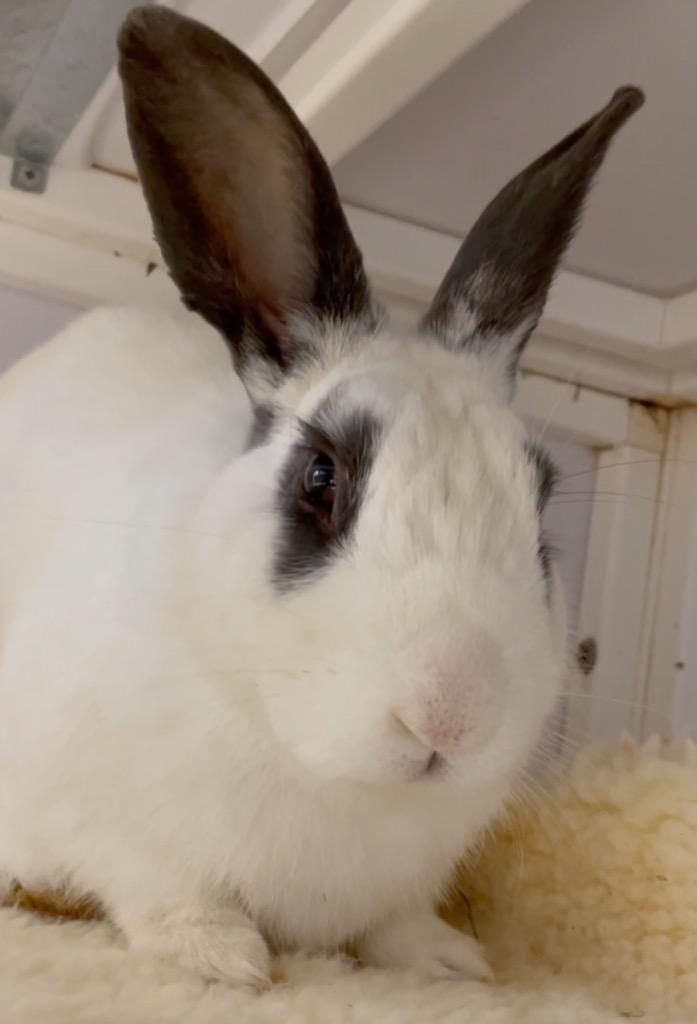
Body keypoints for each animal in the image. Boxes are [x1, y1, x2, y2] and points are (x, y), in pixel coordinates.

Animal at [0, 6, 643, 992]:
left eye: (540, 509)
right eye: (319, 479)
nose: (448, 717)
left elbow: (394, 928)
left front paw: (450, 964)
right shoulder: (104, 822)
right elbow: (159, 886)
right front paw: (223, 958)